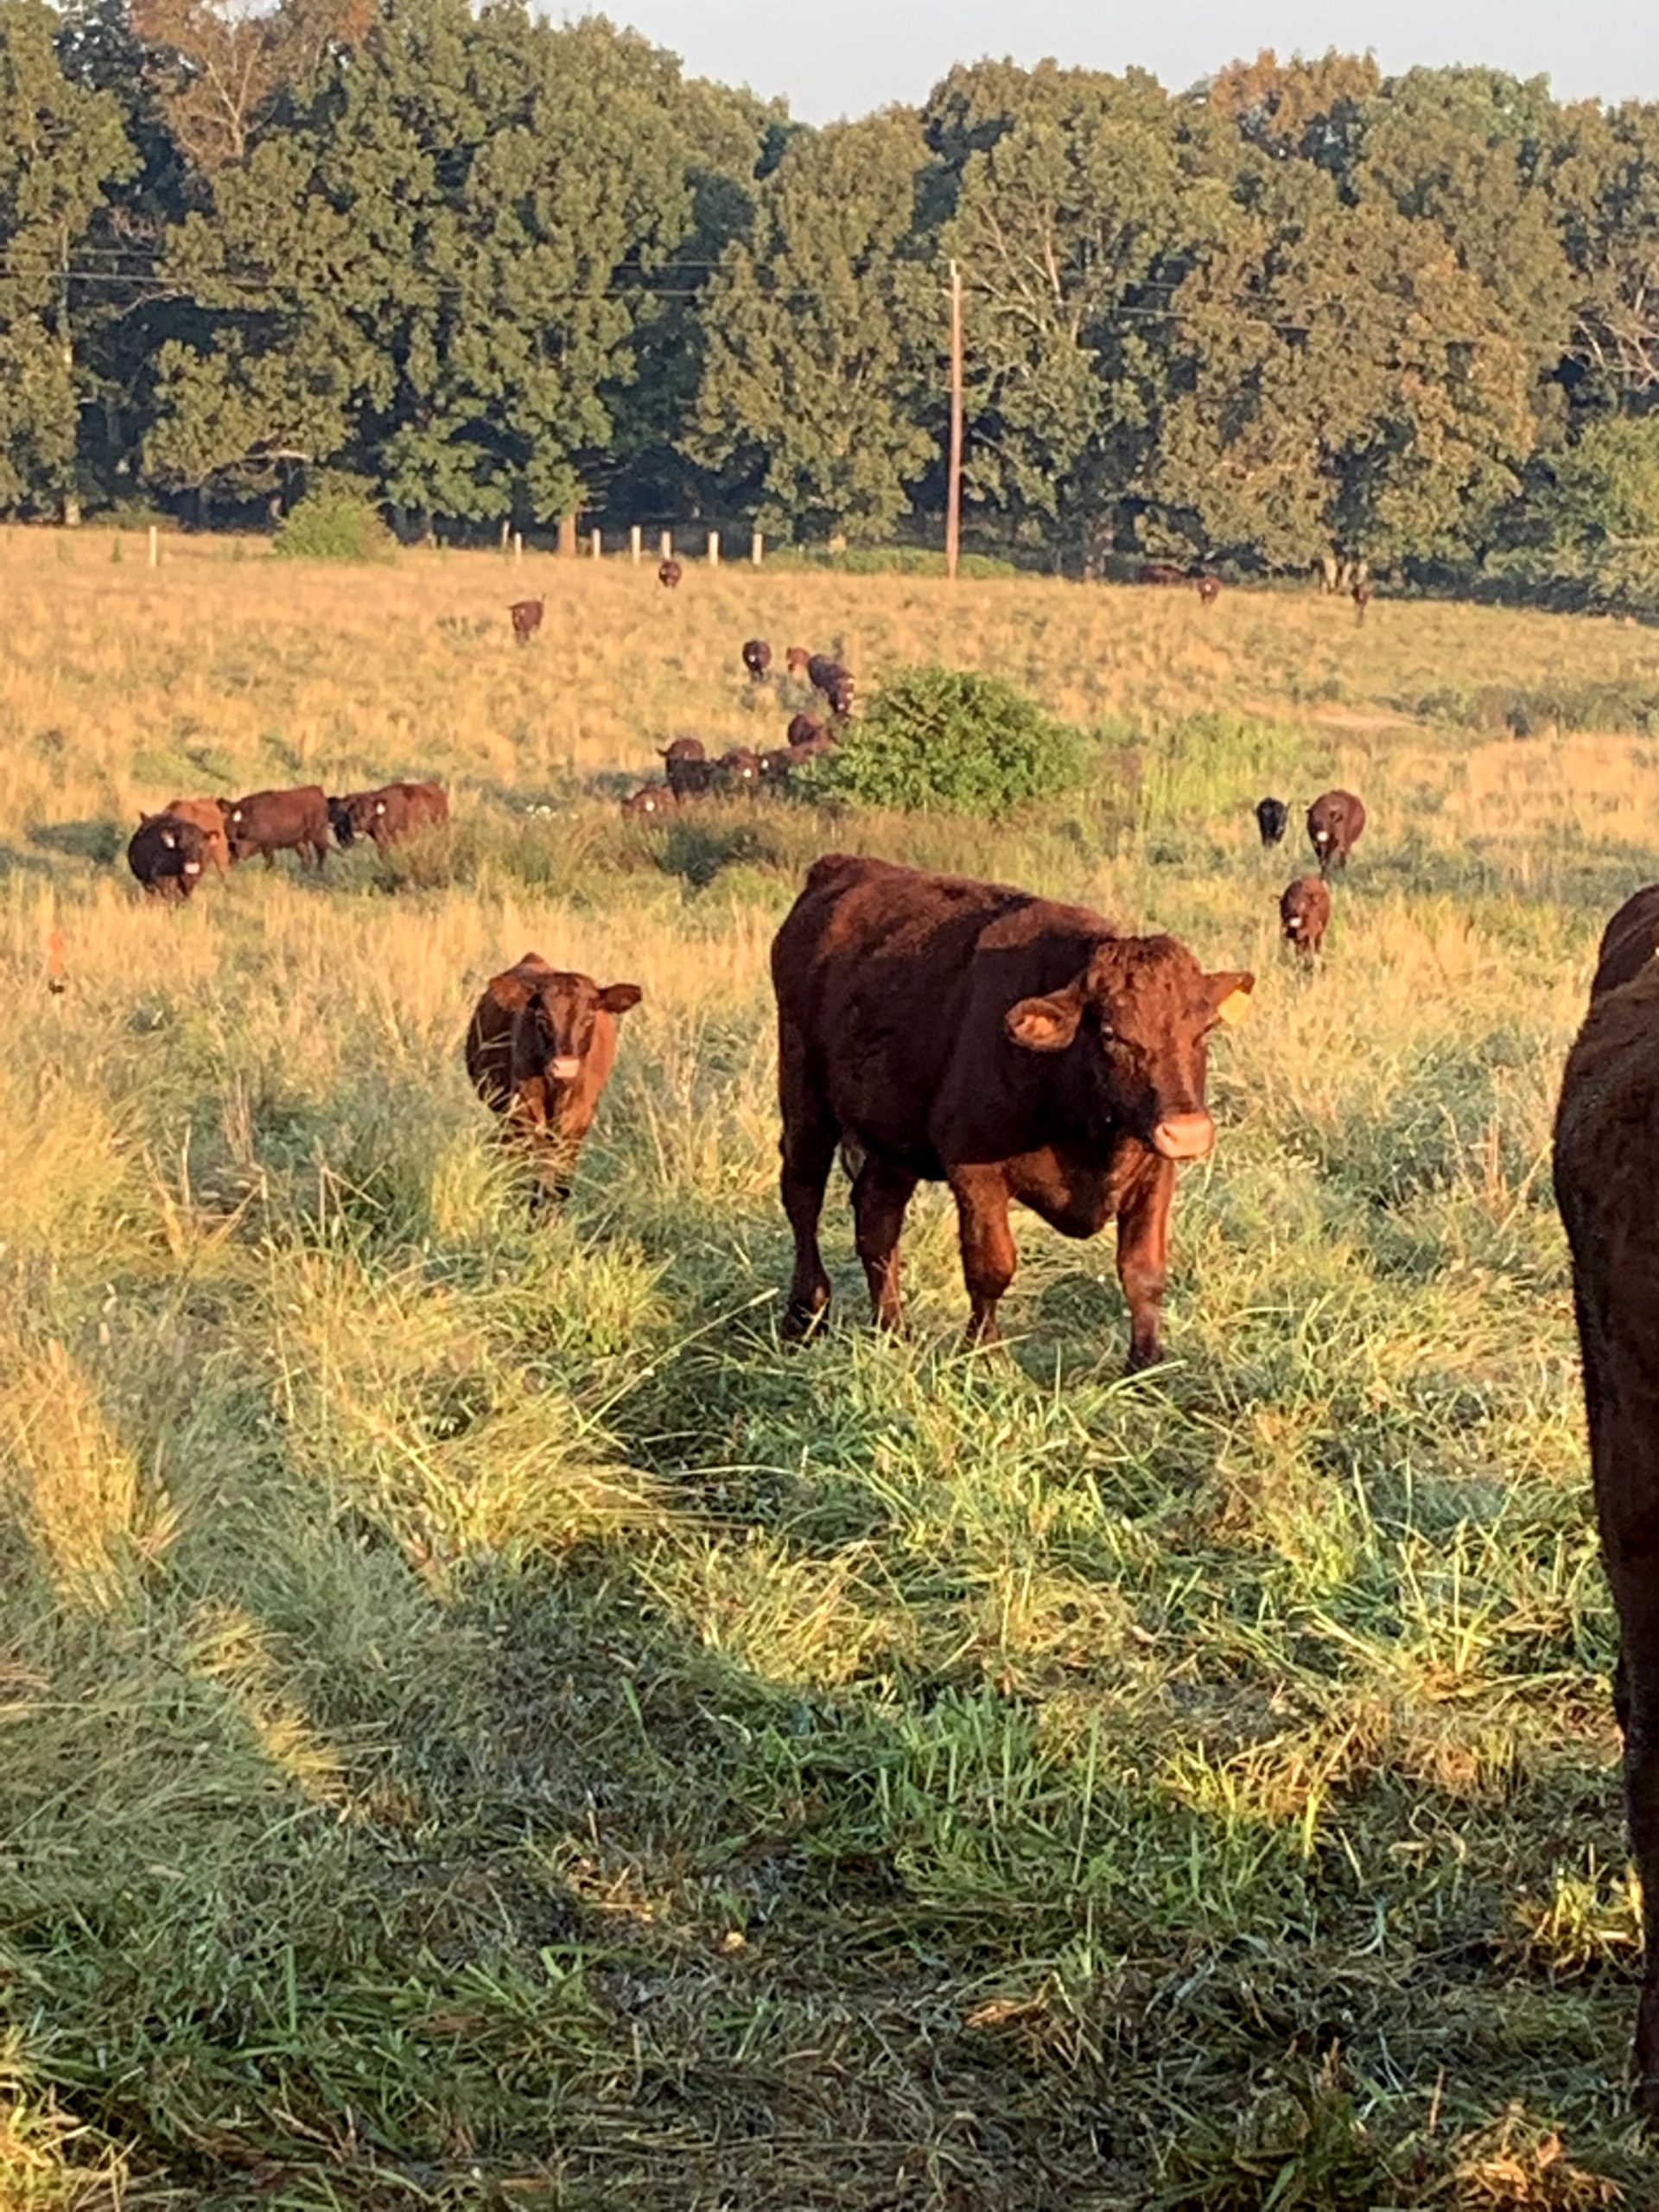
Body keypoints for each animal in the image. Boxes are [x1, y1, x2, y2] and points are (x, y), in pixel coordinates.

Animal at [473, 955, 650, 1211]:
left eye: (589, 1018)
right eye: (542, 1018)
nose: (565, 1067)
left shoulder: (580, 1117)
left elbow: (562, 1179)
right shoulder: (525, 1110)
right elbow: (540, 1170)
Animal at [774, 858, 1256, 1362]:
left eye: (1204, 1031)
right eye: (1111, 1034)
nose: (1187, 1132)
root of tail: (846, 867)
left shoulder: (1154, 1173)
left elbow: (1143, 1272)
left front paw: (1145, 1364)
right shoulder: (975, 1173)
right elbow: (991, 1266)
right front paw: (983, 1353)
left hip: (893, 1135)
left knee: (876, 1219)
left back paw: (893, 1329)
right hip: (804, 1102)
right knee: (803, 1196)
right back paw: (804, 1314)